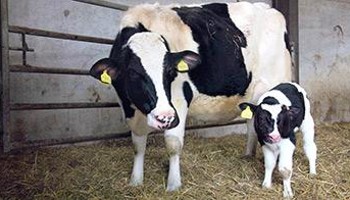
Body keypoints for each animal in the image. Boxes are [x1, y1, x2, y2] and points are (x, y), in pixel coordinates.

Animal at [89, 2, 292, 191]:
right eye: (132, 72)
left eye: (170, 72)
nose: (164, 117)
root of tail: (267, 8)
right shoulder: (128, 107)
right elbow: (138, 145)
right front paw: (136, 181)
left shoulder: (178, 100)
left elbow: (173, 144)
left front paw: (173, 185)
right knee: (252, 124)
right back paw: (248, 155)